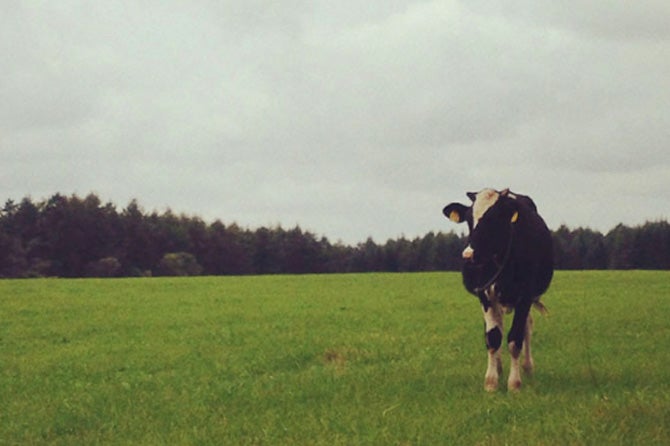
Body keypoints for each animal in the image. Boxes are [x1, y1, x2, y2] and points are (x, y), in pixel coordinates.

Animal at [444, 187, 552, 390]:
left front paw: (514, 383)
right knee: (497, 327)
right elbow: (493, 338)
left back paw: (527, 367)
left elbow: (515, 339)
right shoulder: (485, 295)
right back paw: (500, 367)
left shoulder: (525, 296)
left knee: (527, 327)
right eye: (469, 220)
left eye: (492, 219)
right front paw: (491, 381)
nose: (468, 255)